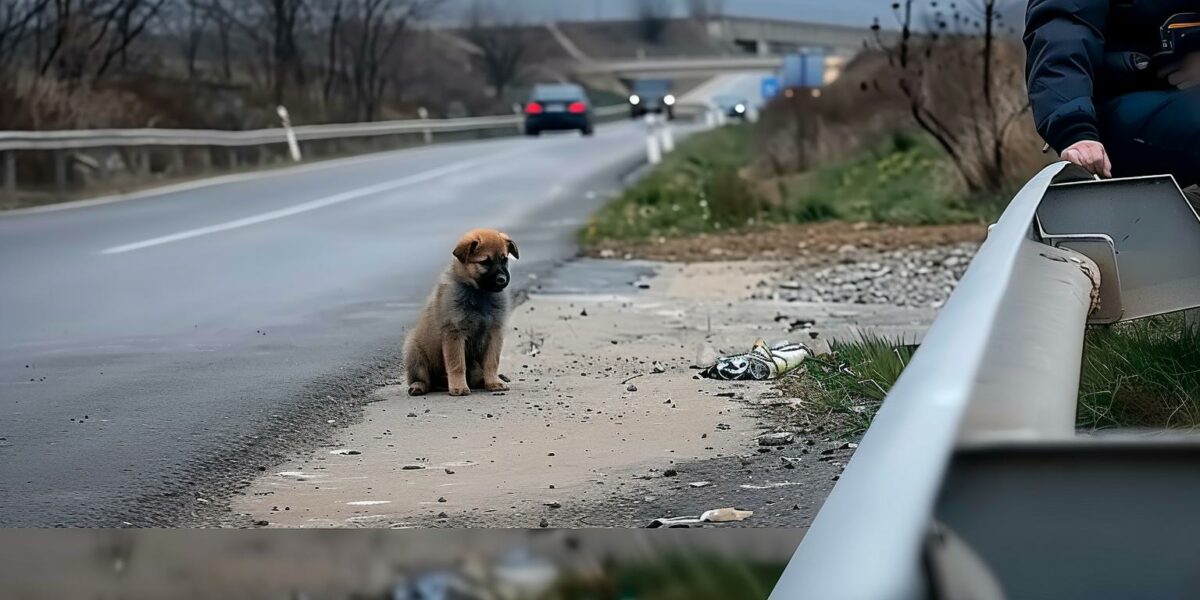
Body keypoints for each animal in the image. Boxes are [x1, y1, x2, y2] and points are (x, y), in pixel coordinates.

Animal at [405, 226, 518, 396]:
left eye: (504, 259)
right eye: (485, 262)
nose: (502, 280)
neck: (479, 293)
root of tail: (440, 384)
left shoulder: (494, 332)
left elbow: (492, 361)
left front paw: (493, 382)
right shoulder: (455, 333)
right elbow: (457, 364)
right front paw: (459, 387)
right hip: (413, 351)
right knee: (425, 380)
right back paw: (418, 386)